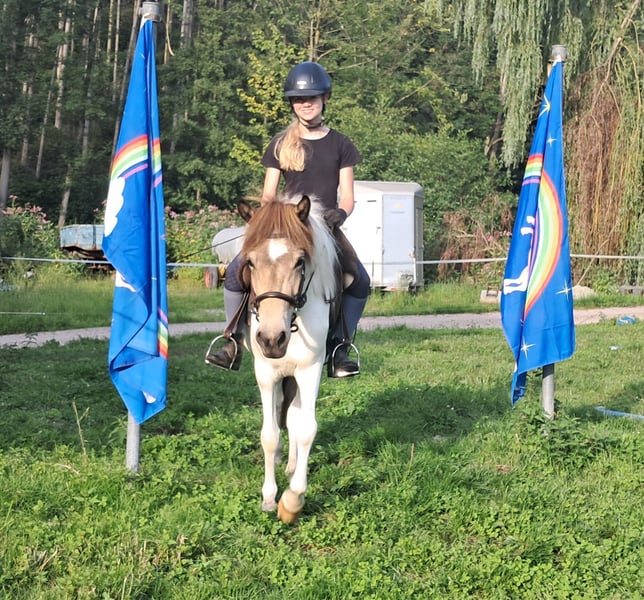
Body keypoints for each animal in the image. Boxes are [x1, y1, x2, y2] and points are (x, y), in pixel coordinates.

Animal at [235, 195, 340, 523]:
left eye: (299, 262)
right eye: (251, 262)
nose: (271, 338)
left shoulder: (309, 370)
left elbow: (306, 429)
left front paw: (292, 500)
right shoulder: (266, 373)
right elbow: (269, 435)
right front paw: (269, 498)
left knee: (294, 416)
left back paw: (293, 466)